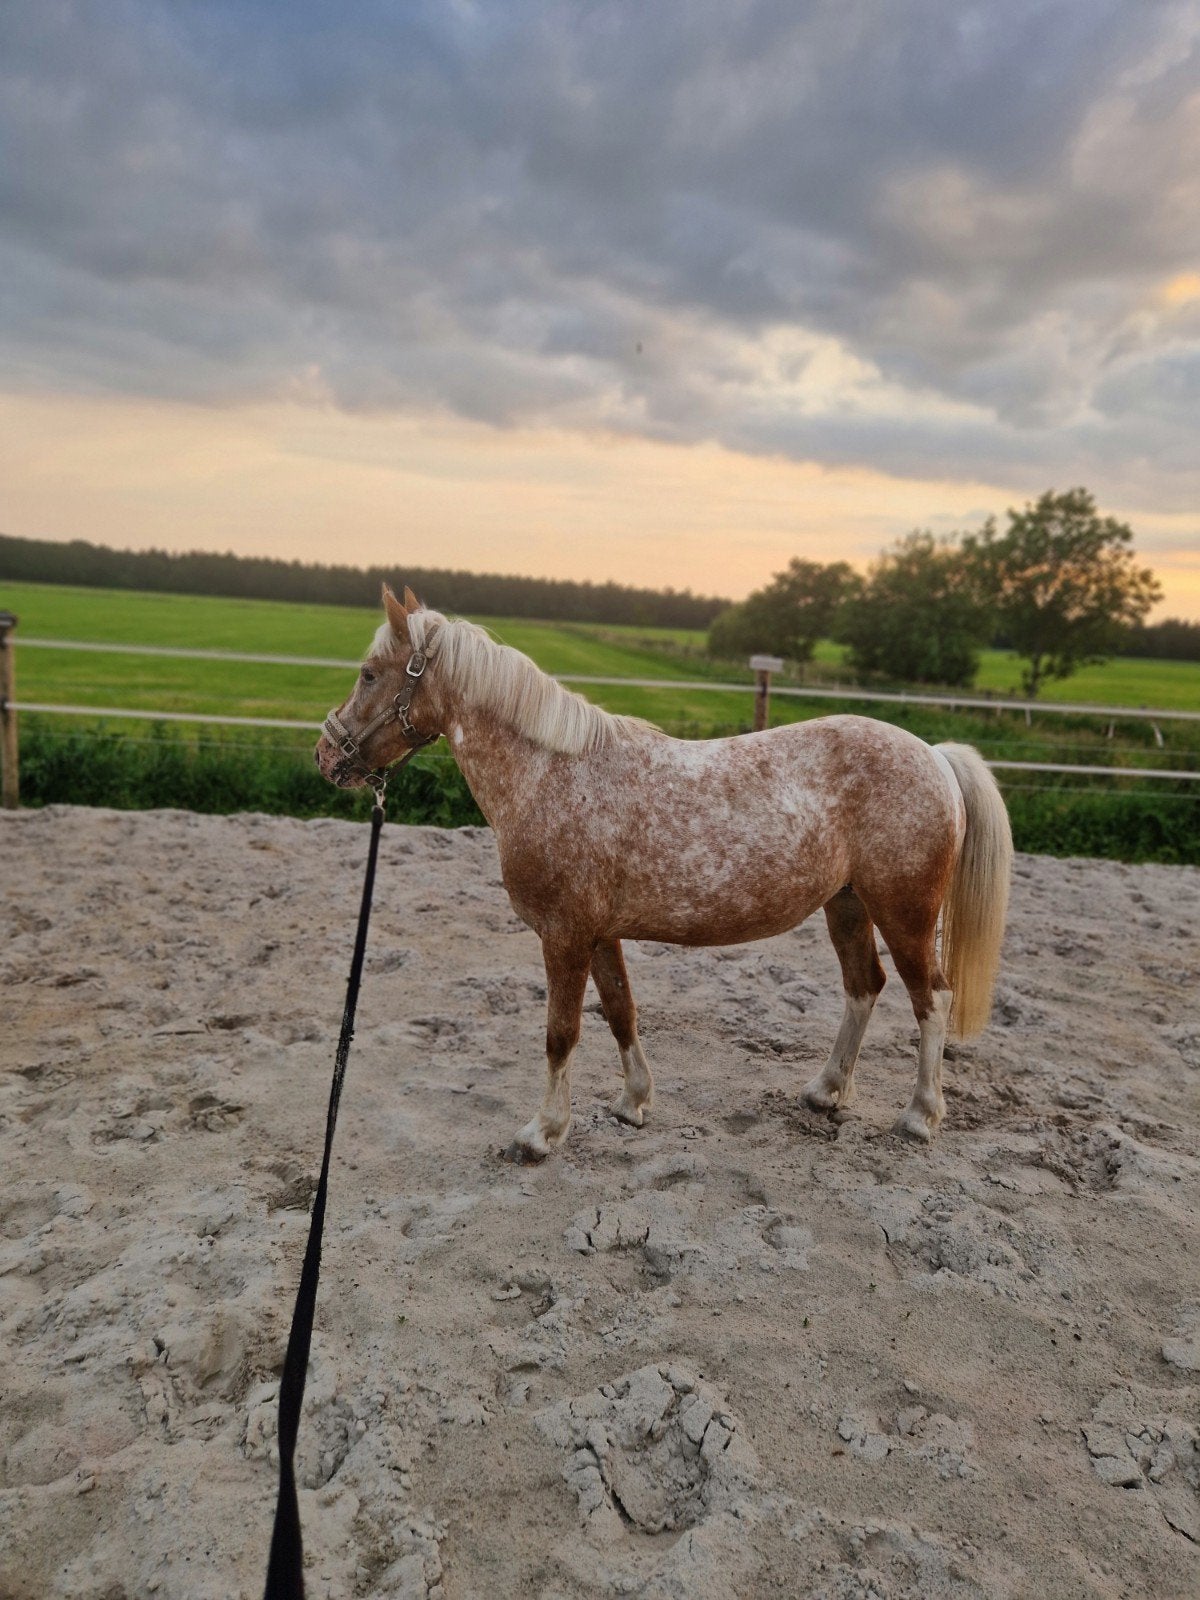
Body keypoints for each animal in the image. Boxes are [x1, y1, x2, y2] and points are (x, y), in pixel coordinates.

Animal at [315, 585, 1012, 1161]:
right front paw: (633, 1103)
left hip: (905, 912)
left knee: (932, 999)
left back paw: (920, 1116)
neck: (552, 775)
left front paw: (542, 1134)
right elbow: (621, 1011)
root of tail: (935, 756)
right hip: (846, 904)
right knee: (864, 986)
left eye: (369, 673)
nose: (327, 754)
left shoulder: (564, 936)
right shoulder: (598, 934)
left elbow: (561, 1033)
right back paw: (825, 1090)